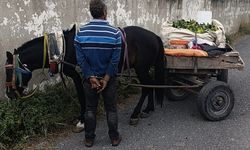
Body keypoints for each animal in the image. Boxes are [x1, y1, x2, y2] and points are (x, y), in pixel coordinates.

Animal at [4, 24, 165, 125]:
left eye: (9, 71)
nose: (9, 94)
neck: (62, 48)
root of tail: (155, 36)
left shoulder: (76, 74)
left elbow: (81, 95)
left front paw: (81, 120)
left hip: (141, 68)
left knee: (146, 87)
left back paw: (135, 114)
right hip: (144, 68)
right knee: (151, 84)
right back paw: (148, 109)